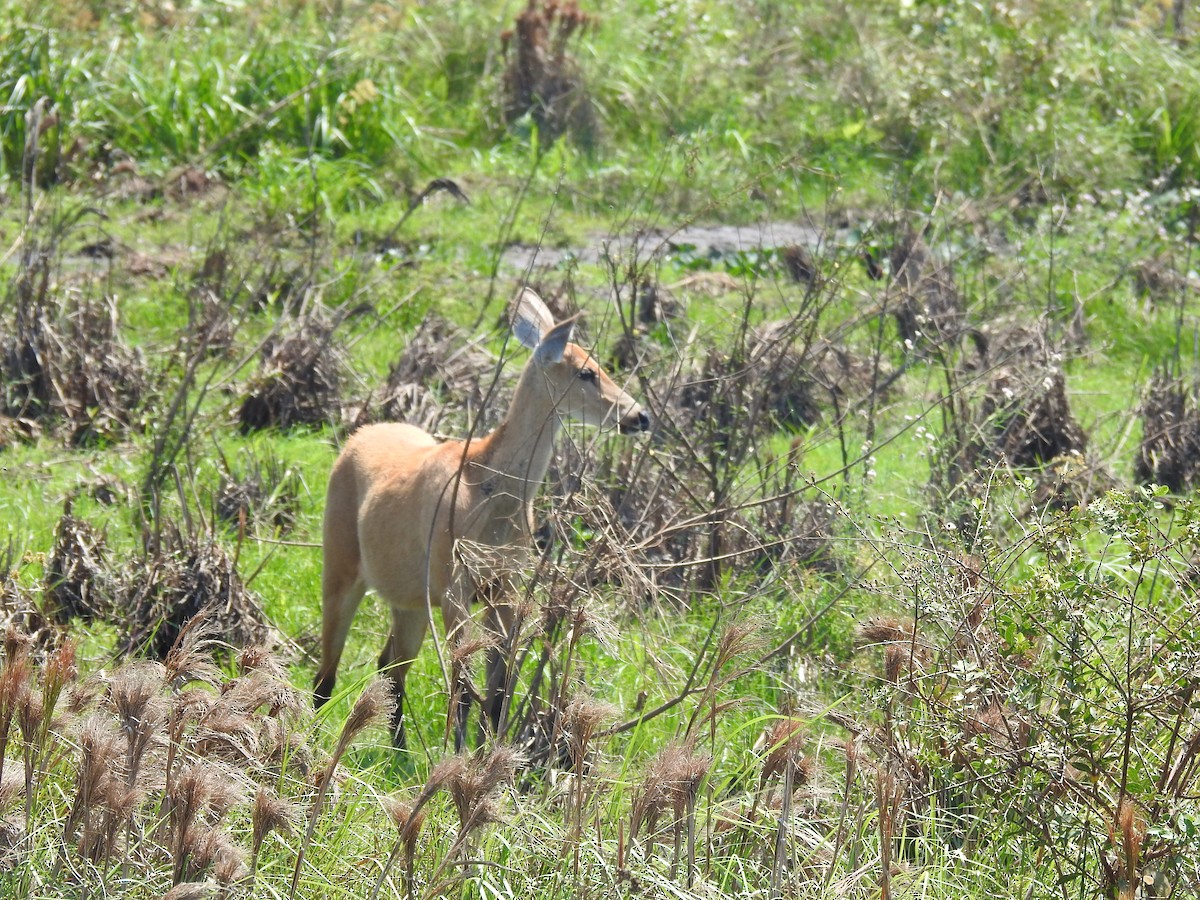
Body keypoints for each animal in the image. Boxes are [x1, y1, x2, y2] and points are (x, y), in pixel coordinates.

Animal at [314, 288, 650, 748]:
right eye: (586, 372)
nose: (639, 416)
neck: (493, 498)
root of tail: (354, 439)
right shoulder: (456, 584)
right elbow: (462, 683)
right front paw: (456, 755)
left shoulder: (505, 583)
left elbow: (498, 687)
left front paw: (489, 753)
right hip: (341, 564)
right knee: (326, 672)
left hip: (411, 598)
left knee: (390, 666)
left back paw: (397, 749)